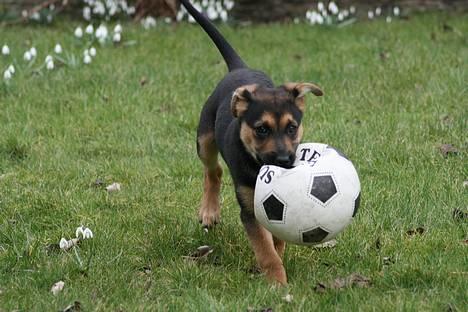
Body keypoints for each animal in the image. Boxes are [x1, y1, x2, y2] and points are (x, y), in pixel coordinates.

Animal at [181, 0, 324, 286]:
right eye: (261, 130)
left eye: (292, 128)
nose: (284, 160)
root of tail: (239, 68)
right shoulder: (249, 208)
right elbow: (265, 249)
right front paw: (278, 283)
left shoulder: (275, 208)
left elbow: (277, 239)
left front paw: (279, 257)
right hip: (204, 138)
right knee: (213, 170)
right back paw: (209, 211)